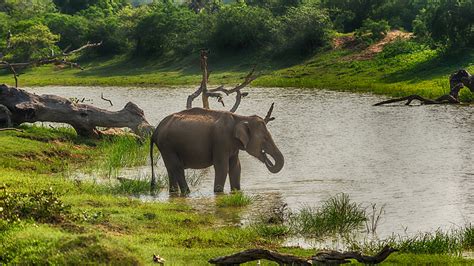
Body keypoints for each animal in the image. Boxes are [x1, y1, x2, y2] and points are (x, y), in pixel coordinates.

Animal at [150, 106, 284, 193]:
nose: (266, 158)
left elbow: (236, 167)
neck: (240, 117)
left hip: (165, 147)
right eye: (265, 139)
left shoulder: (233, 145)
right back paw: (187, 192)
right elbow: (222, 167)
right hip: (167, 145)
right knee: (177, 167)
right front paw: (218, 192)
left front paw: (236, 191)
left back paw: (174, 192)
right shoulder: (221, 141)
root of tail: (156, 130)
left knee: (170, 168)